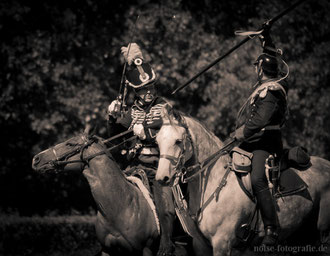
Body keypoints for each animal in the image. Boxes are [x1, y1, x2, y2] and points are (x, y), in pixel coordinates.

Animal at [156, 103, 330, 255]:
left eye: (178, 141)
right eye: (157, 141)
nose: (161, 178)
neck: (215, 184)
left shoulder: (222, 243)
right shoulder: (201, 246)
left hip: (323, 233)